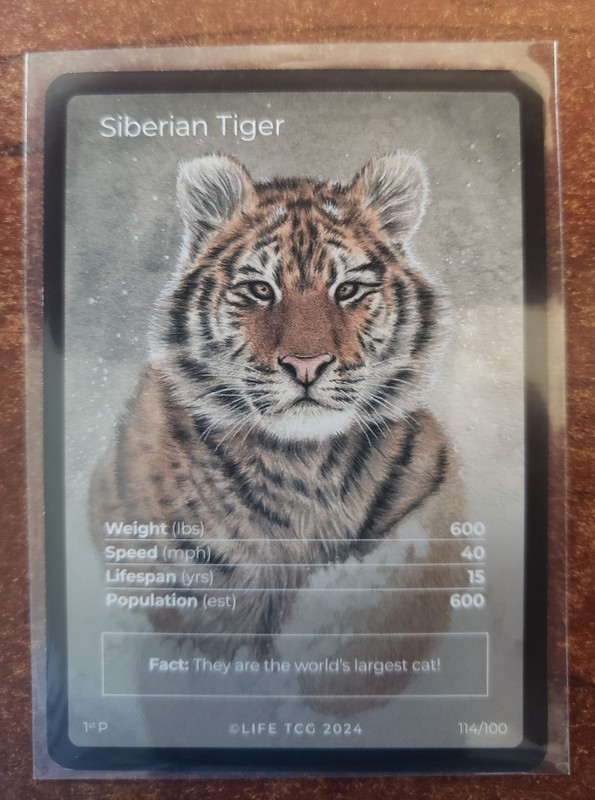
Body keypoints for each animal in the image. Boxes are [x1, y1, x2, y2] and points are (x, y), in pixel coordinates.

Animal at [90, 152, 463, 705]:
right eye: (260, 290)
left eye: (347, 289)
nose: (306, 365)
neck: (306, 466)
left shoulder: (429, 515)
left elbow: (385, 619)